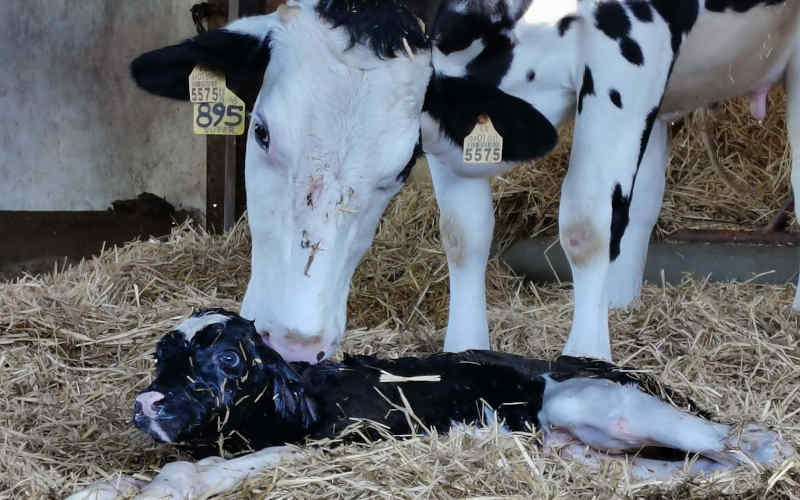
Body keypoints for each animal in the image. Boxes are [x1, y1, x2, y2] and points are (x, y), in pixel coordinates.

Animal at [68, 309, 795, 499]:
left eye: (226, 361)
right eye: (160, 355)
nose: (147, 402)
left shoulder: (334, 443)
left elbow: (193, 473)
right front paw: (95, 488)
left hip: (596, 404)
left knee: (744, 441)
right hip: (584, 449)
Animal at [130, 0, 800, 366]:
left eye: (401, 164)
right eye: (262, 131)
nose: (292, 343)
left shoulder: (631, 43)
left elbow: (585, 226)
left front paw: (589, 359)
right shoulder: (449, 74)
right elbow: (464, 234)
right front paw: (466, 350)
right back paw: (621, 302)